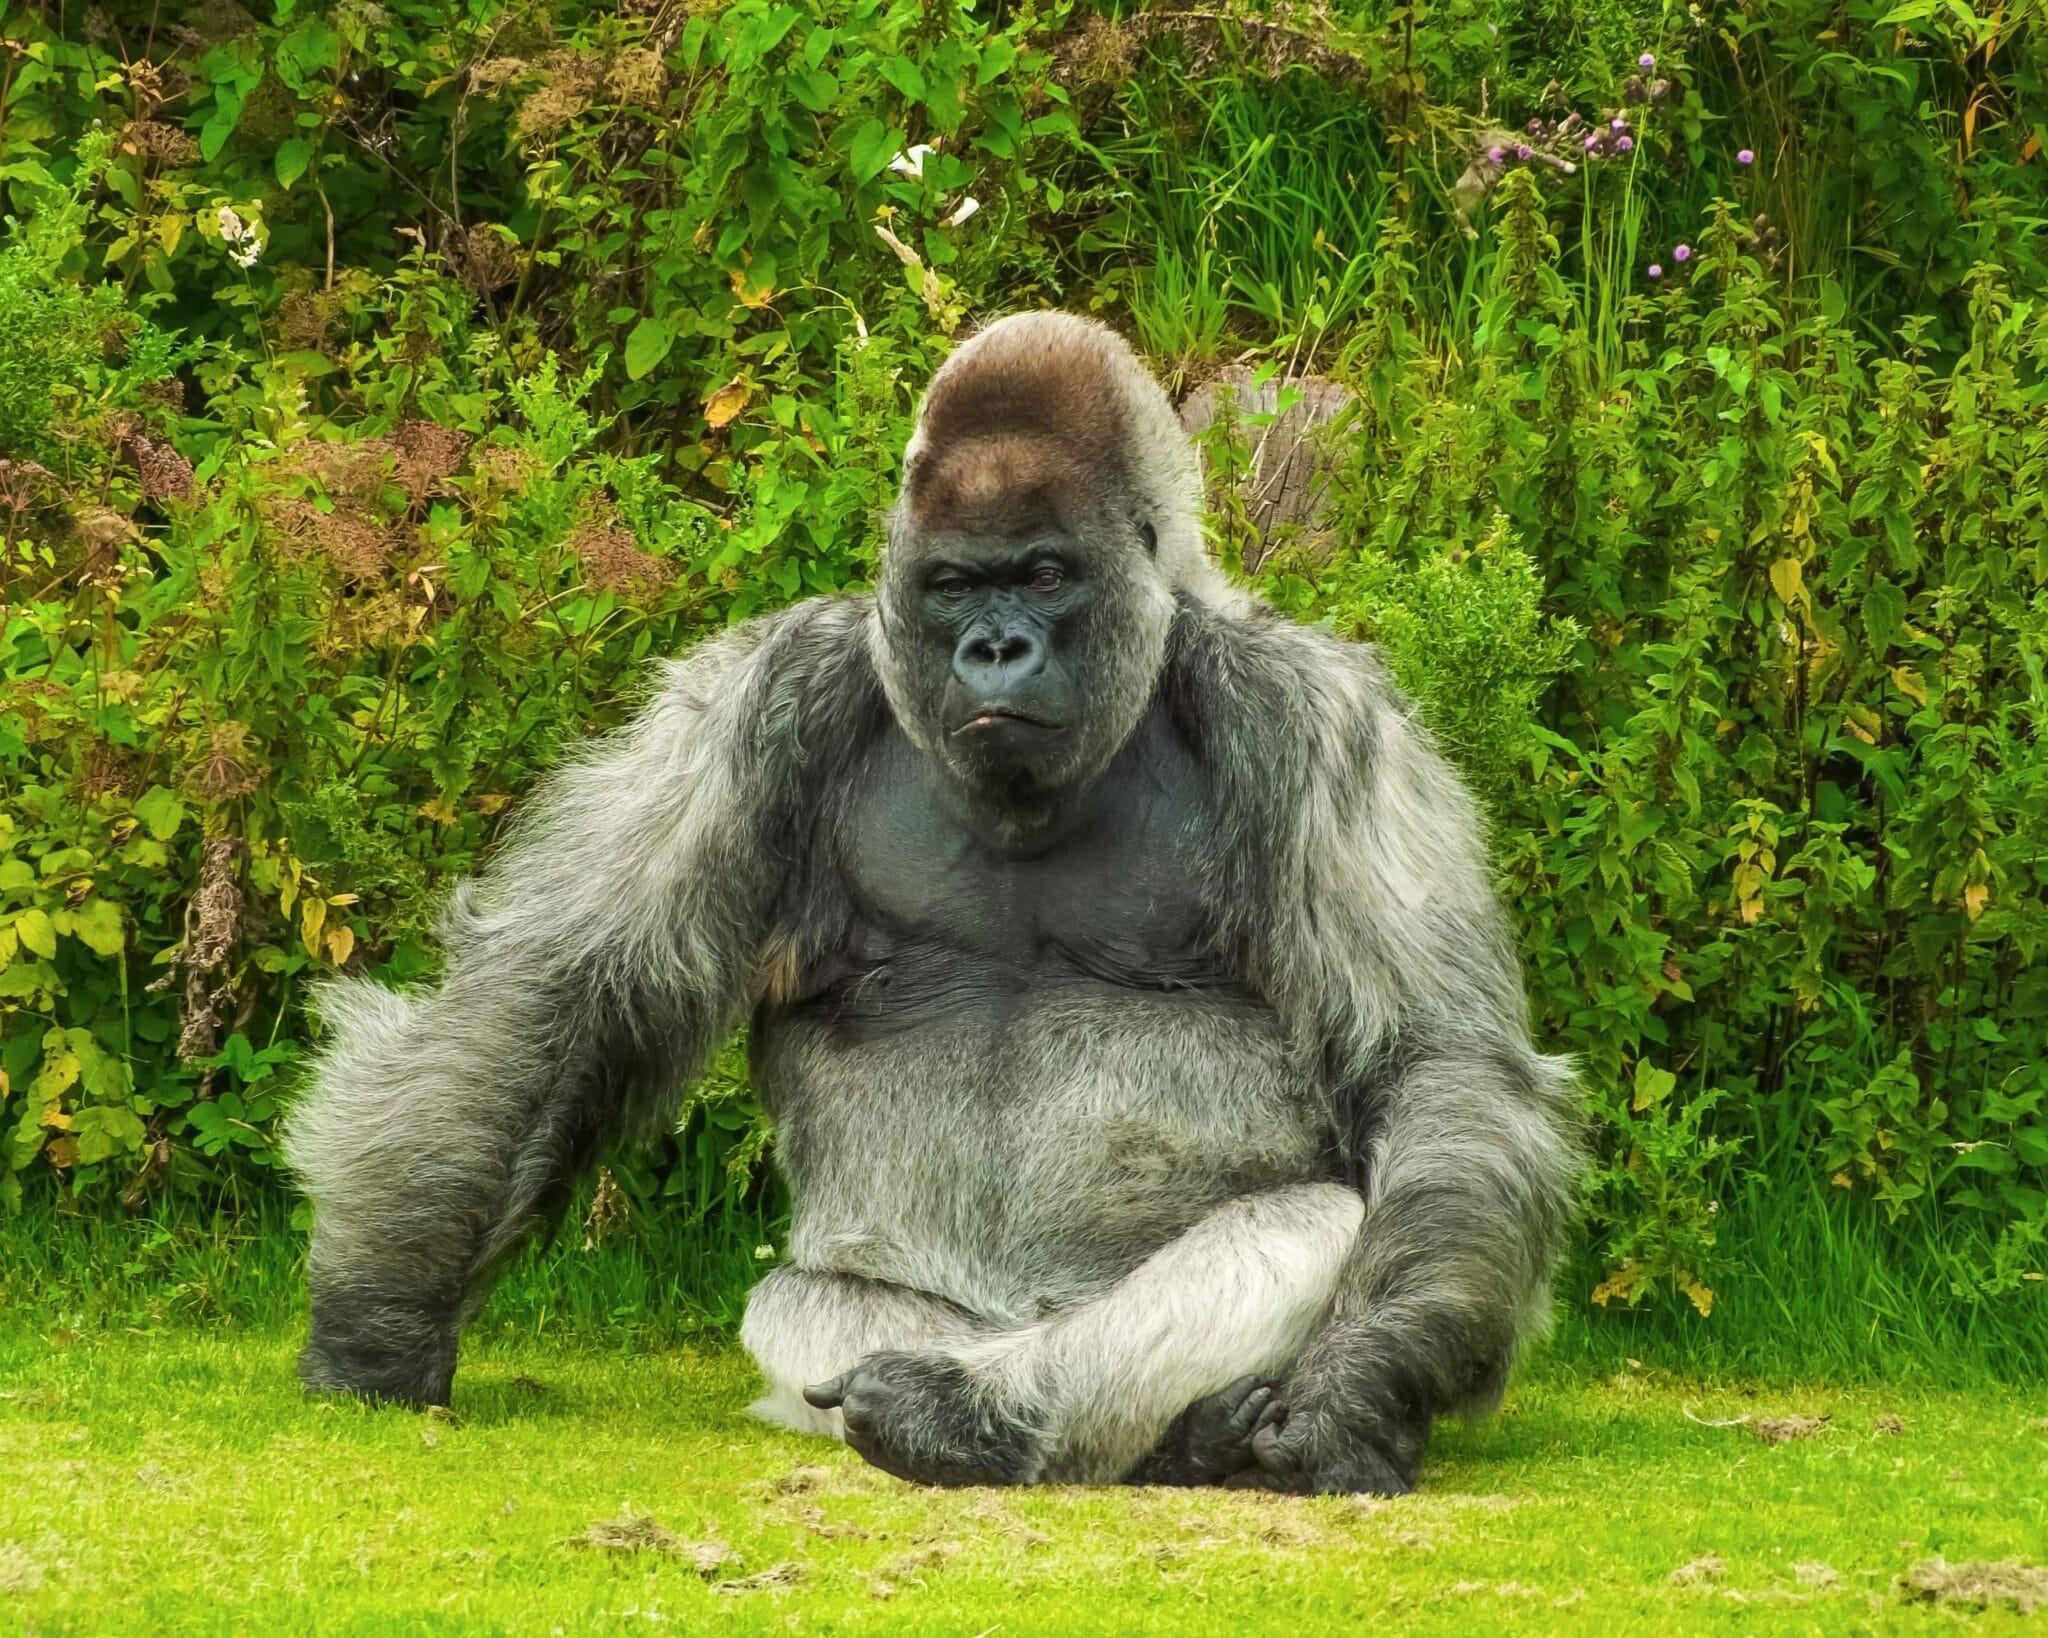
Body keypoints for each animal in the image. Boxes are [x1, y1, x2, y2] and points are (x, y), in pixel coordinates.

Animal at [283, 312, 1579, 1495]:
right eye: (955, 585)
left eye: (1045, 575)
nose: (995, 650)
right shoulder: (756, 701)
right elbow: (556, 993)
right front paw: (381, 1321)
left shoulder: (1319, 719)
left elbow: (1432, 1067)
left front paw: (1359, 1384)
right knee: (806, 1301)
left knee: (1315, 1225)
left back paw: (990, 1414)